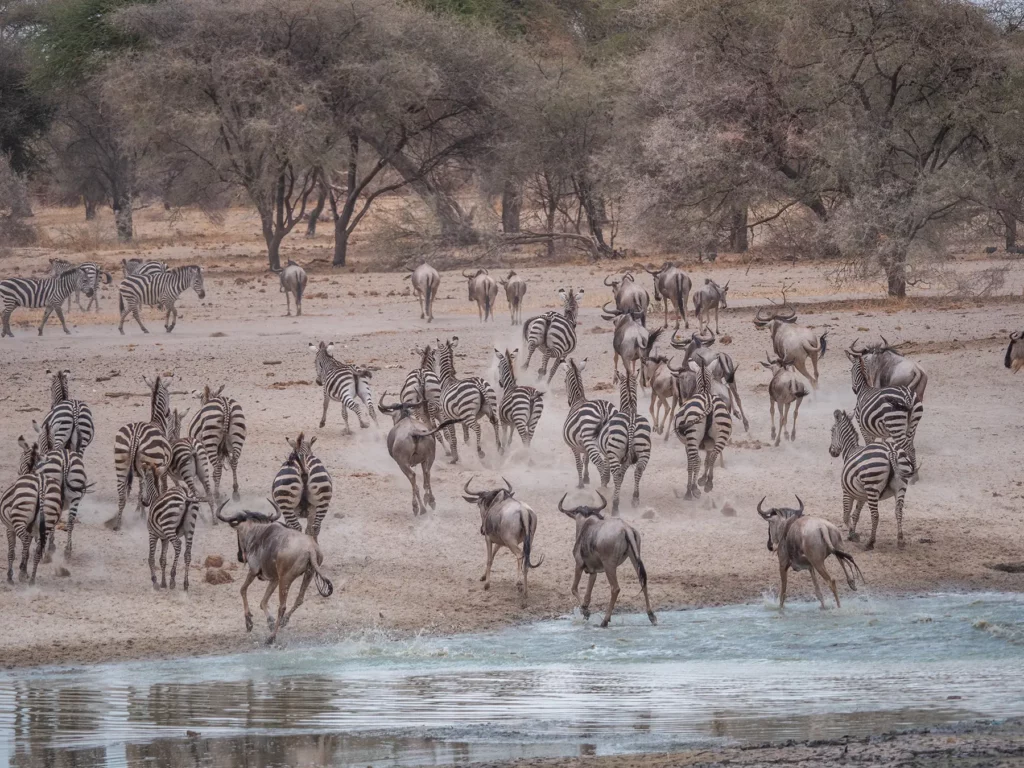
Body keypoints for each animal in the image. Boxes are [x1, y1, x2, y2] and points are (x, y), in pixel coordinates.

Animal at [109, 376, 173, 531]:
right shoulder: (161, 469)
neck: (157, 422)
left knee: (122, 494)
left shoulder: (139, 473)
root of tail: (136, 435)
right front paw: (144, 513)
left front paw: (140, 513)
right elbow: (157, 489)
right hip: (150, 464)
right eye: (169, 394)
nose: (168, 412)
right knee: (151, 493)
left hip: (121, 462)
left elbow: (140, 491)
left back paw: (118, 524)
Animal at [562, 357, 617, 489]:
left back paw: (602, 486)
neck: (578, 399)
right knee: (608, 463)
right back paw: (606, 481)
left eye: (564, 380)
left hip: (590, 439)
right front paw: (586, 478)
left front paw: (581, 483)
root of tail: (603, 409)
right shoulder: (583, 446)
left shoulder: (574, 446)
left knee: (600, 463)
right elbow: (586, 460)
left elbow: (579, 464)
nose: (568, 402)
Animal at [599, 370, 652, 514]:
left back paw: (615, 506)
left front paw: (604, 487)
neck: (630, 408)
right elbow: (622, 476)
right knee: (639, 470)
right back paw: (635, 499)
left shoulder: (608, 454)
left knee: (616, 474)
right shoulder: (627, 460)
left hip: (614, 452)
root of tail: (632, 420)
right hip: (644, 450)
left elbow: (609, 473)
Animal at [673, 358, 732, 499]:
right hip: (721, 434)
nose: (680, 400)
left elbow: (691, 464)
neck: (705, 390)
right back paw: (708, 483)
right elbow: (707, 460)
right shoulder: (709, 445)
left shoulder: (687, 444)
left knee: (696, 460)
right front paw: (703, 479)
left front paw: (690, 489)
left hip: (692, 437)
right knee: (714, 455)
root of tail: (708, 402)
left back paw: (693, 490)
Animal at [829, 409, 914, 550]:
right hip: (901, 486)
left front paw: (853, 534)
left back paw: (870, 542)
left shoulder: (847, 491)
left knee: (875, 515)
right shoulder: (862, 495)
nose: (831, 452)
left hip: (872, 487)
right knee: (898, 511)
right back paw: (900, 540)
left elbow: (846, 515)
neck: (850, 450)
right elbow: (855, 514)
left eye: (832, 431)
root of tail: (891, 451)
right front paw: (852, 534)